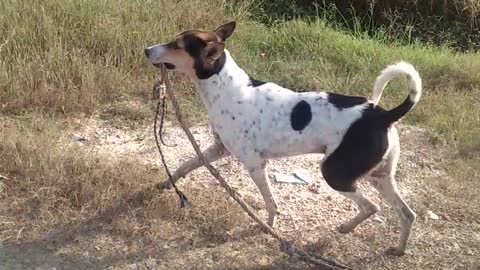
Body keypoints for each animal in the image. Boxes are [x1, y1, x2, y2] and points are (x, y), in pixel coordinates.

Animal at [144, 21, 422, 255]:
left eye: (177, 45)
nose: (146, 50)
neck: (225, 86)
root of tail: (384, 115)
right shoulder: (217, 149)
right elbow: (186, 165)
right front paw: (166, 183)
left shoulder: (255, 164)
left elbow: (270, 202)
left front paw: (268, 226)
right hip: (380, 177)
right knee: (407, 214)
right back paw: (398, 249)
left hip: (335, 173)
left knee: (371, 207)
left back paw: (347, 228)